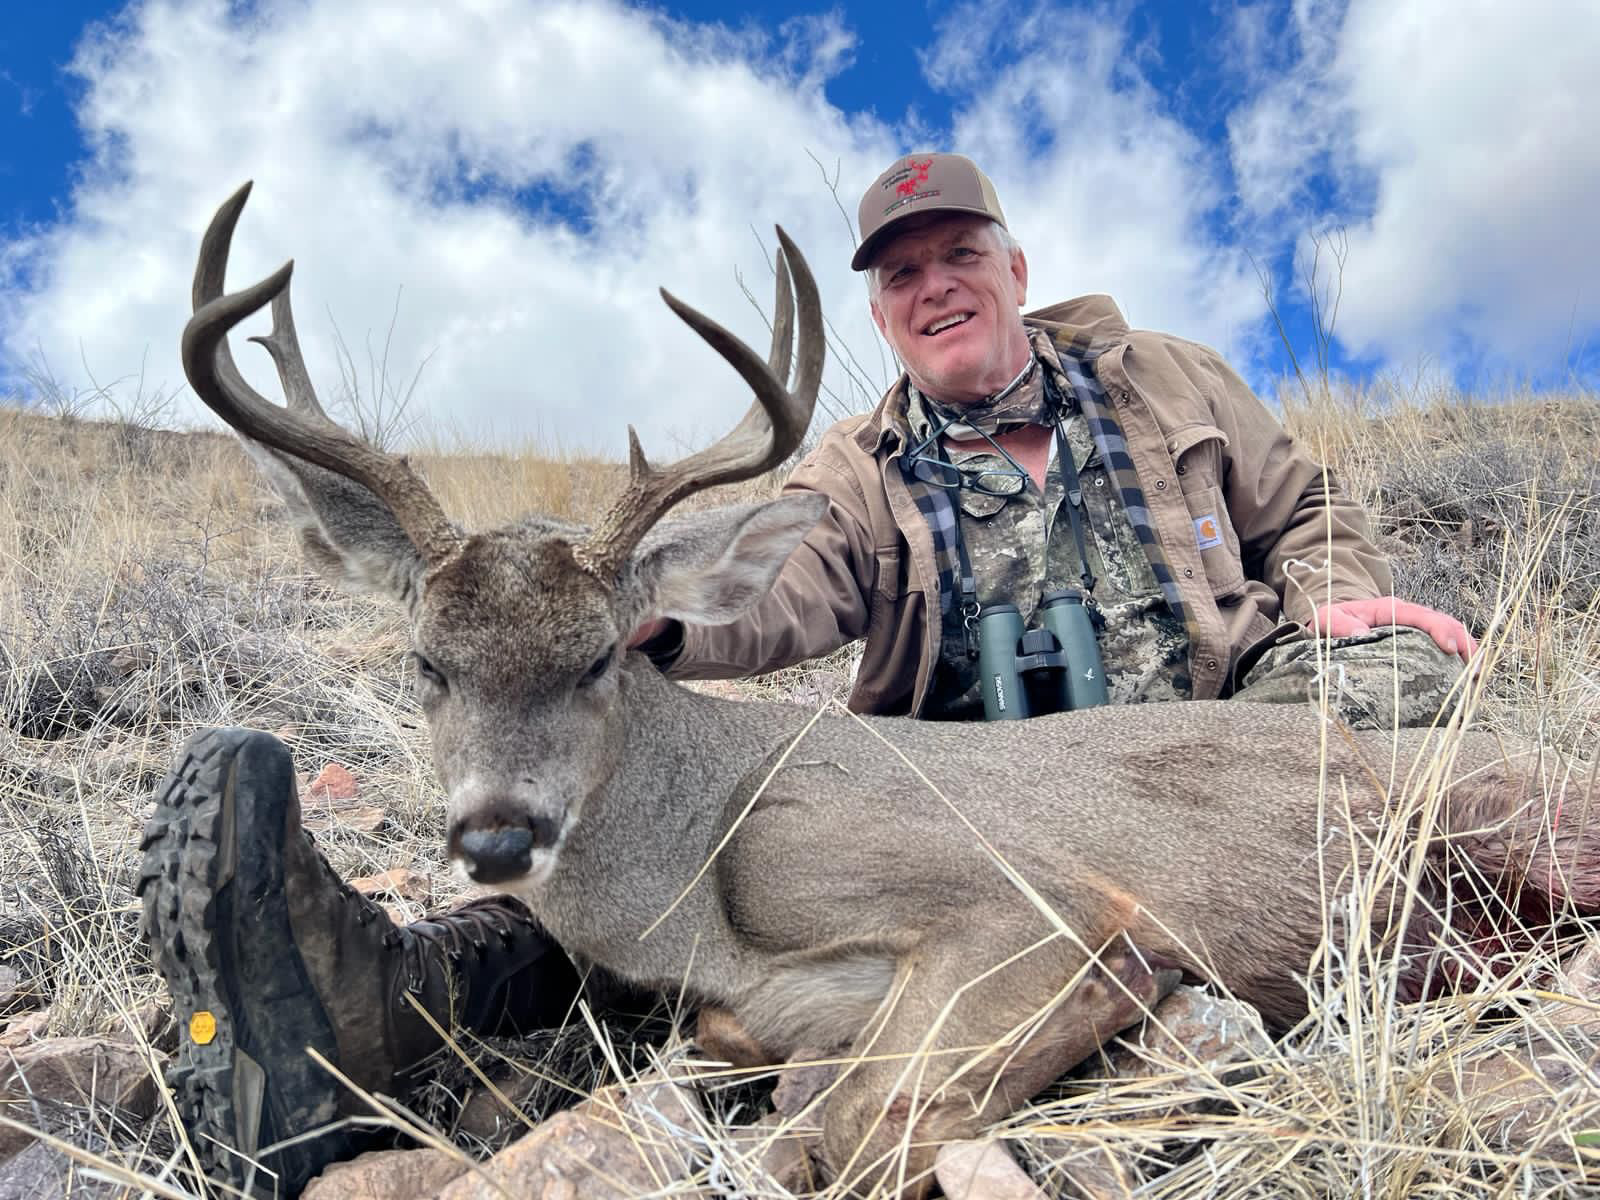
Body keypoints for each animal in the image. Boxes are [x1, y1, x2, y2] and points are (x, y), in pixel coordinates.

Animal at [179, 182, 1599, 1198]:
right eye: (426, 662)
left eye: (599, 654)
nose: (493, 839)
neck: (695, 881)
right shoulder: (750, 1010)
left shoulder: (1041, 909)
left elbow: (856, 1128)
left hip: (1513, 814)